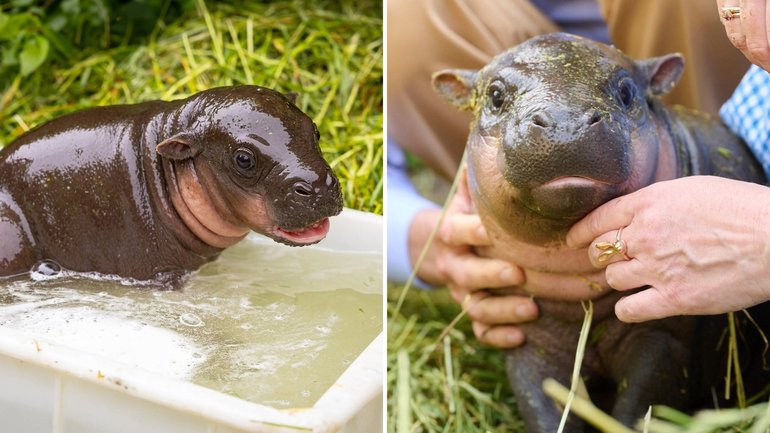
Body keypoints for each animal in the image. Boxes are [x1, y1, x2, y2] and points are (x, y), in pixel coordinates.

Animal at [433, 33, 770, 432]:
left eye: (626, 91)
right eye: (495, 95)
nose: (565, 125)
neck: (579, 298)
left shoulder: (663, 337)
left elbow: (640, 405)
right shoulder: (528, 340)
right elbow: (544, 408)